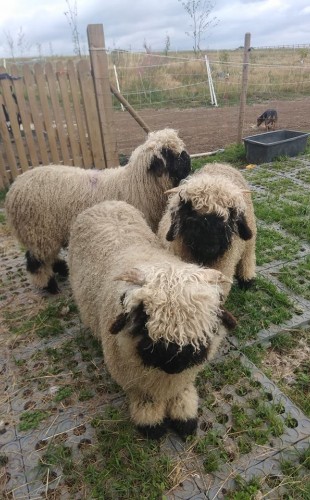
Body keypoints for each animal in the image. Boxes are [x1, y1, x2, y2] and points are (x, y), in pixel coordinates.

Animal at [4, 127, 190, 294]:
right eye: (168, 155)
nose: (187, 158)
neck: (135, 186)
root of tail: (14, 189)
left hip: (45, 234)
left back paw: (61, 268)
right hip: (38, 232)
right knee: (36, 261)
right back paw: (49, 285)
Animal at [68, 201, 237, 440]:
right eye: (143, 318)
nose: (175, 363)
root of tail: (105, 203)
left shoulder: (182, 376)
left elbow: (182, 392)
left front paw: (185, 416)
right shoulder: (133, 379)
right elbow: (145, 398)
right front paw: (151, 423)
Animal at [157, 162, 256, 298]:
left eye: (230, 214)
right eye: (190, 214)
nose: (210, 248)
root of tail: (221, 164)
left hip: (249, 241)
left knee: (248, 256)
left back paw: (246, 280)